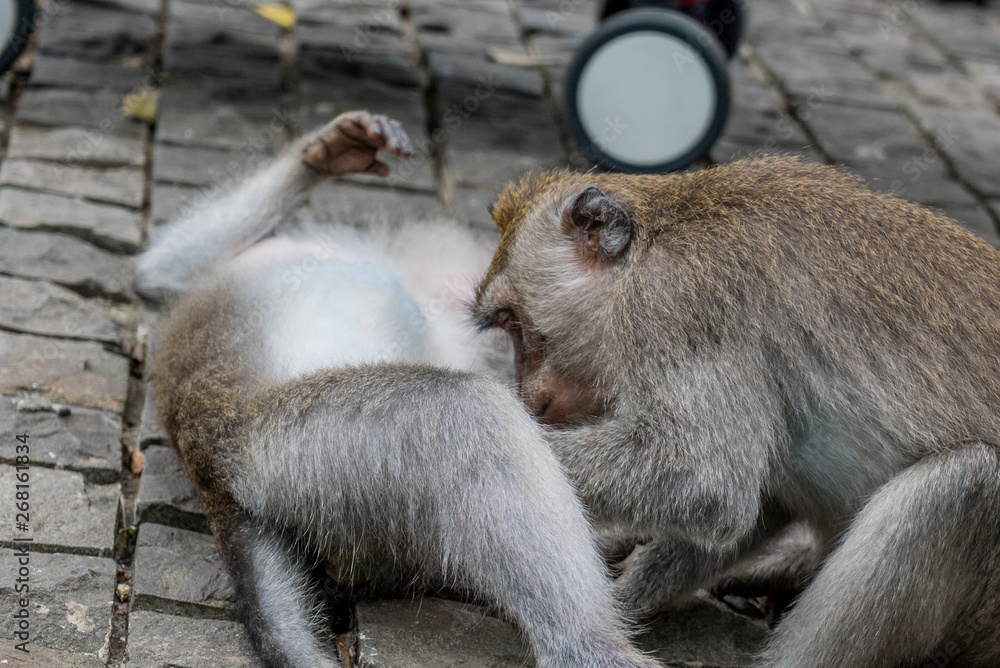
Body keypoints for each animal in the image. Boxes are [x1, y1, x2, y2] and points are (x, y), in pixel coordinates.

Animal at [133, 110, 662, 668]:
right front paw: (326, 153)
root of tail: (211, 471)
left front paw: (326, 153)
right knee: (463, 411)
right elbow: (152, 277)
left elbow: (154, 277)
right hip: (292, 447)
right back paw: (591, 646)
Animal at [473, 157, 1000, 667]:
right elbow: (754, 495)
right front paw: (624, 597)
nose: (527, 396)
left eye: (513, 321)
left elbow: (705, 480)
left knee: (963, 484)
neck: (658, 236)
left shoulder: (676, 303)